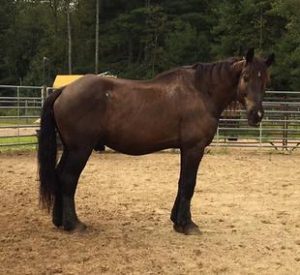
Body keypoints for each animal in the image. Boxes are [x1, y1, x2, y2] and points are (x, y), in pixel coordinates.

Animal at [38, 49, 274, 235]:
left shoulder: (186, 149)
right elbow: (189, 183)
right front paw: (187, 225)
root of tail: (65, 90)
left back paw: (59, 221)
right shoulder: (194, 148)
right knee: (68, 178)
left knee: (59, 175)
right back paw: (73, 224)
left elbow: (182, 182)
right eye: (246, 77)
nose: (257, 115)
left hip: (70, 148)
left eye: (264, 80)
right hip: (80, 149)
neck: (201, 92)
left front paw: (177, 222)